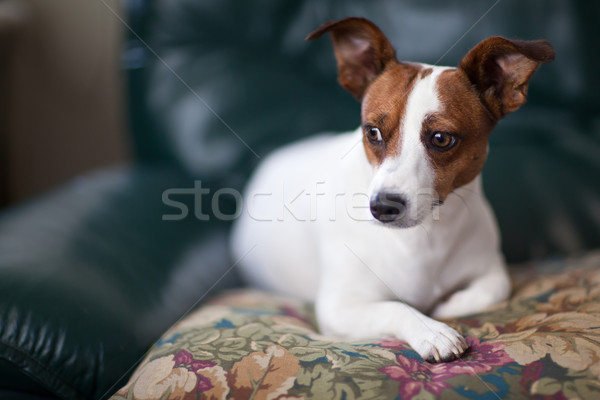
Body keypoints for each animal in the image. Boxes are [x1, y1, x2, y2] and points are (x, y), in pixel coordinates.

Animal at [230, 16, 552, 362]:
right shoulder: (338, 308)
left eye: (441, 138)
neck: (424, 238)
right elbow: (396, 307)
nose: (383, 207)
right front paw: (431, 330)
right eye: (372, 132)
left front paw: (444, 306)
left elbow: (494, 289)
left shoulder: (491, 269)